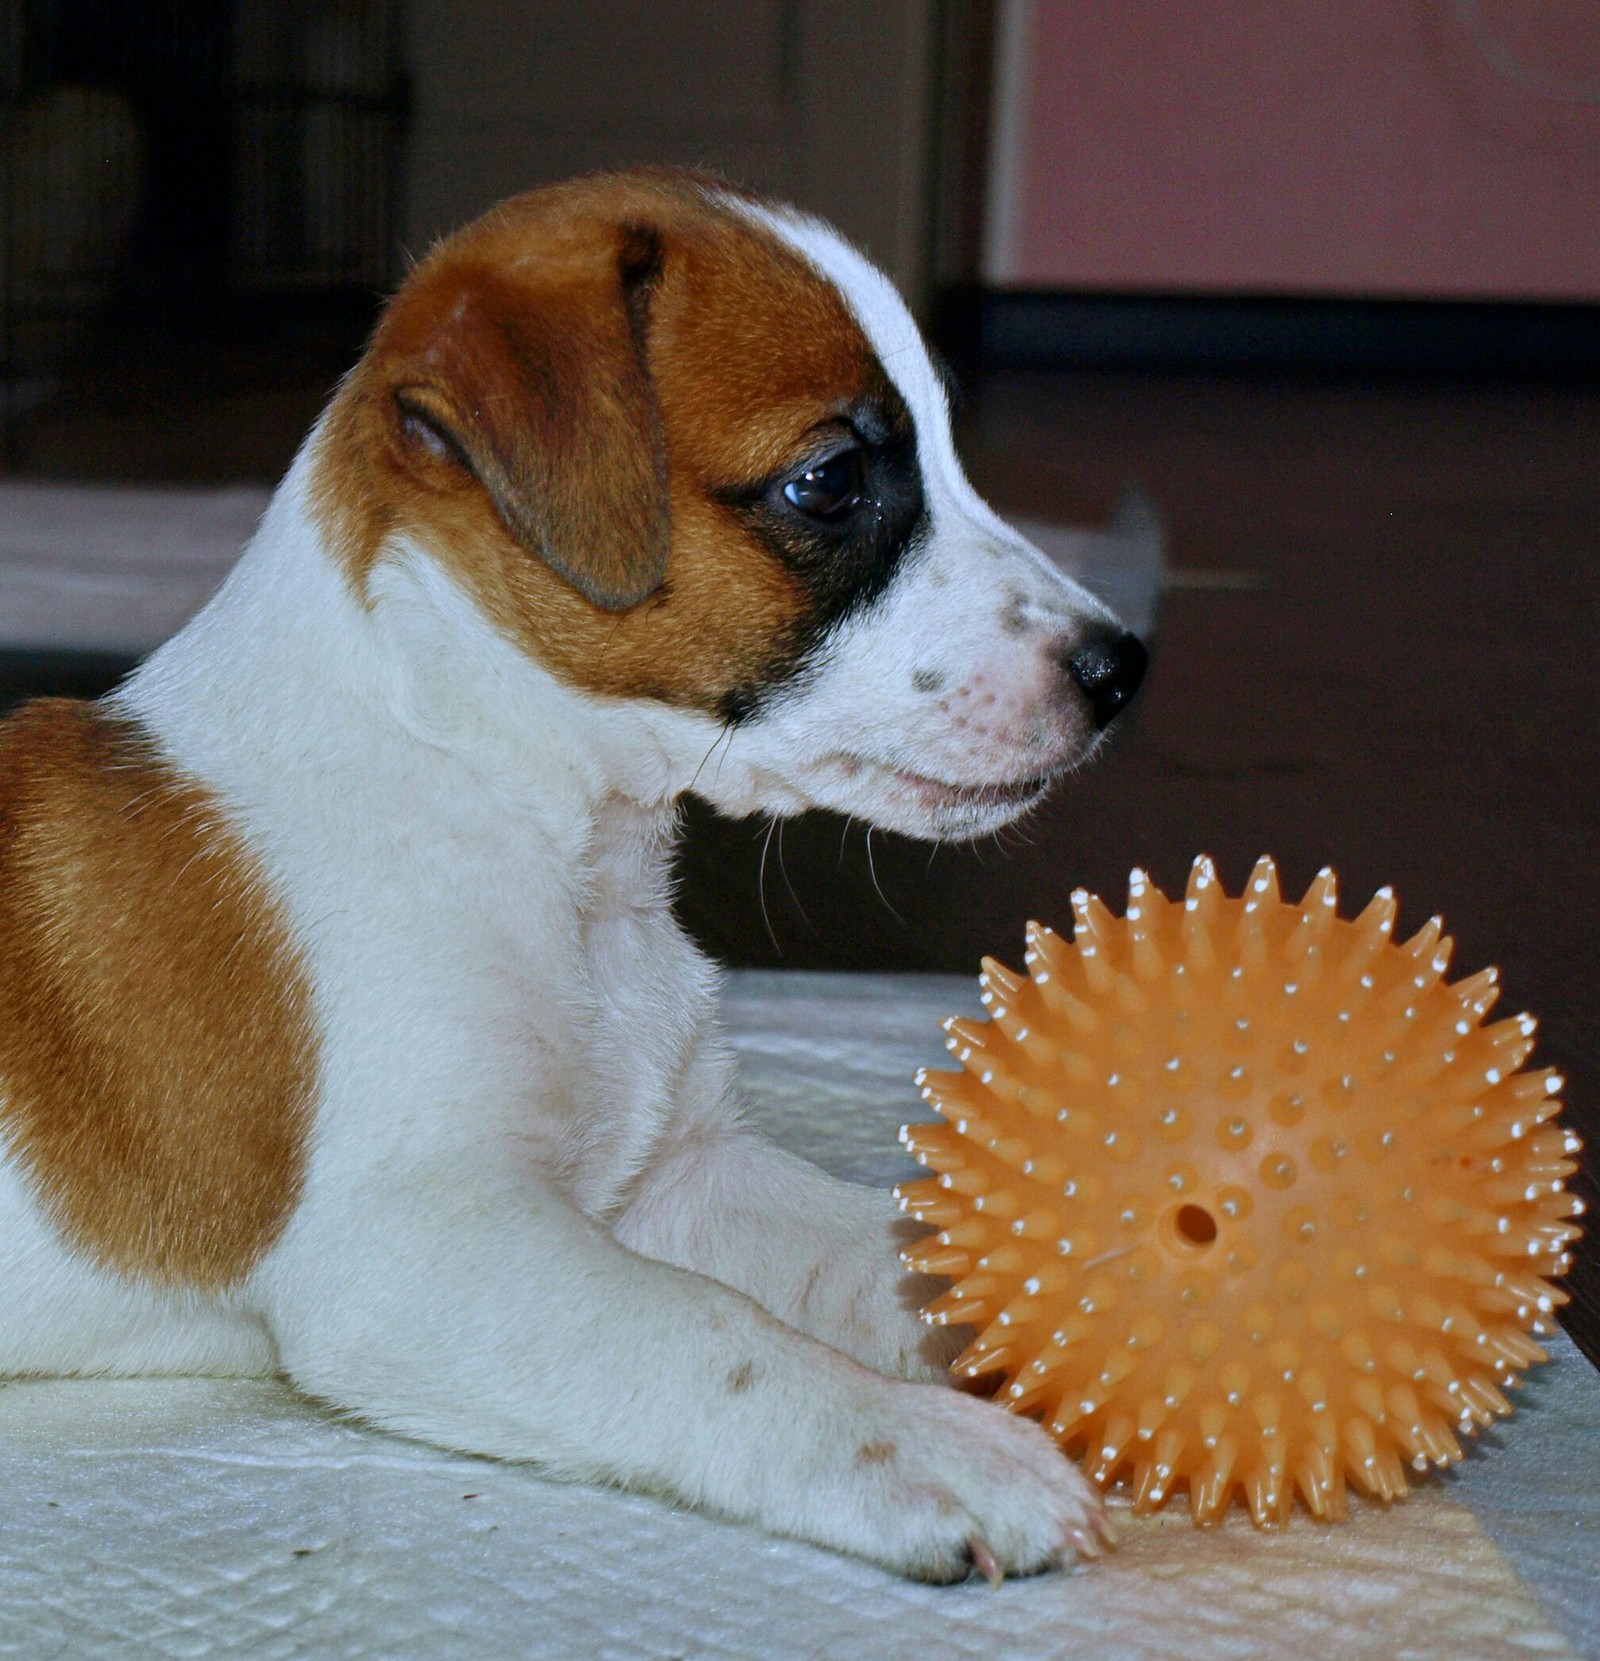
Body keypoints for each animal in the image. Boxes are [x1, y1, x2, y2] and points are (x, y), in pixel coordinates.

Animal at [0, 168, 1149, 1581]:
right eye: (829, 480)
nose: (1120, 668)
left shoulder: (680, 1174)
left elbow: (895, 1250)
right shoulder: (415, 1244)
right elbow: (713, 1335)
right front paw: (924, 1441)